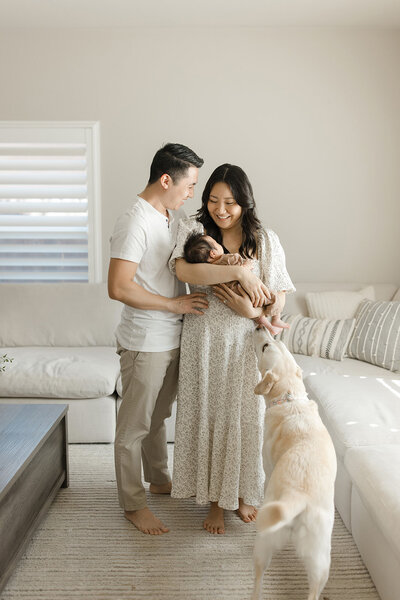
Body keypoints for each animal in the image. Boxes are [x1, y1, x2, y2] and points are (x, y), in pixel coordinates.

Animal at [252, 328, 336, 600]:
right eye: (276, 341)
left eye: (266, 346)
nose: (260, 327)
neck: (290, 399)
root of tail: (298, 497)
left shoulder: (267, 466)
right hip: (321, 560)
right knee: (314, 591)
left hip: (264, 541)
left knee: (258, 579)